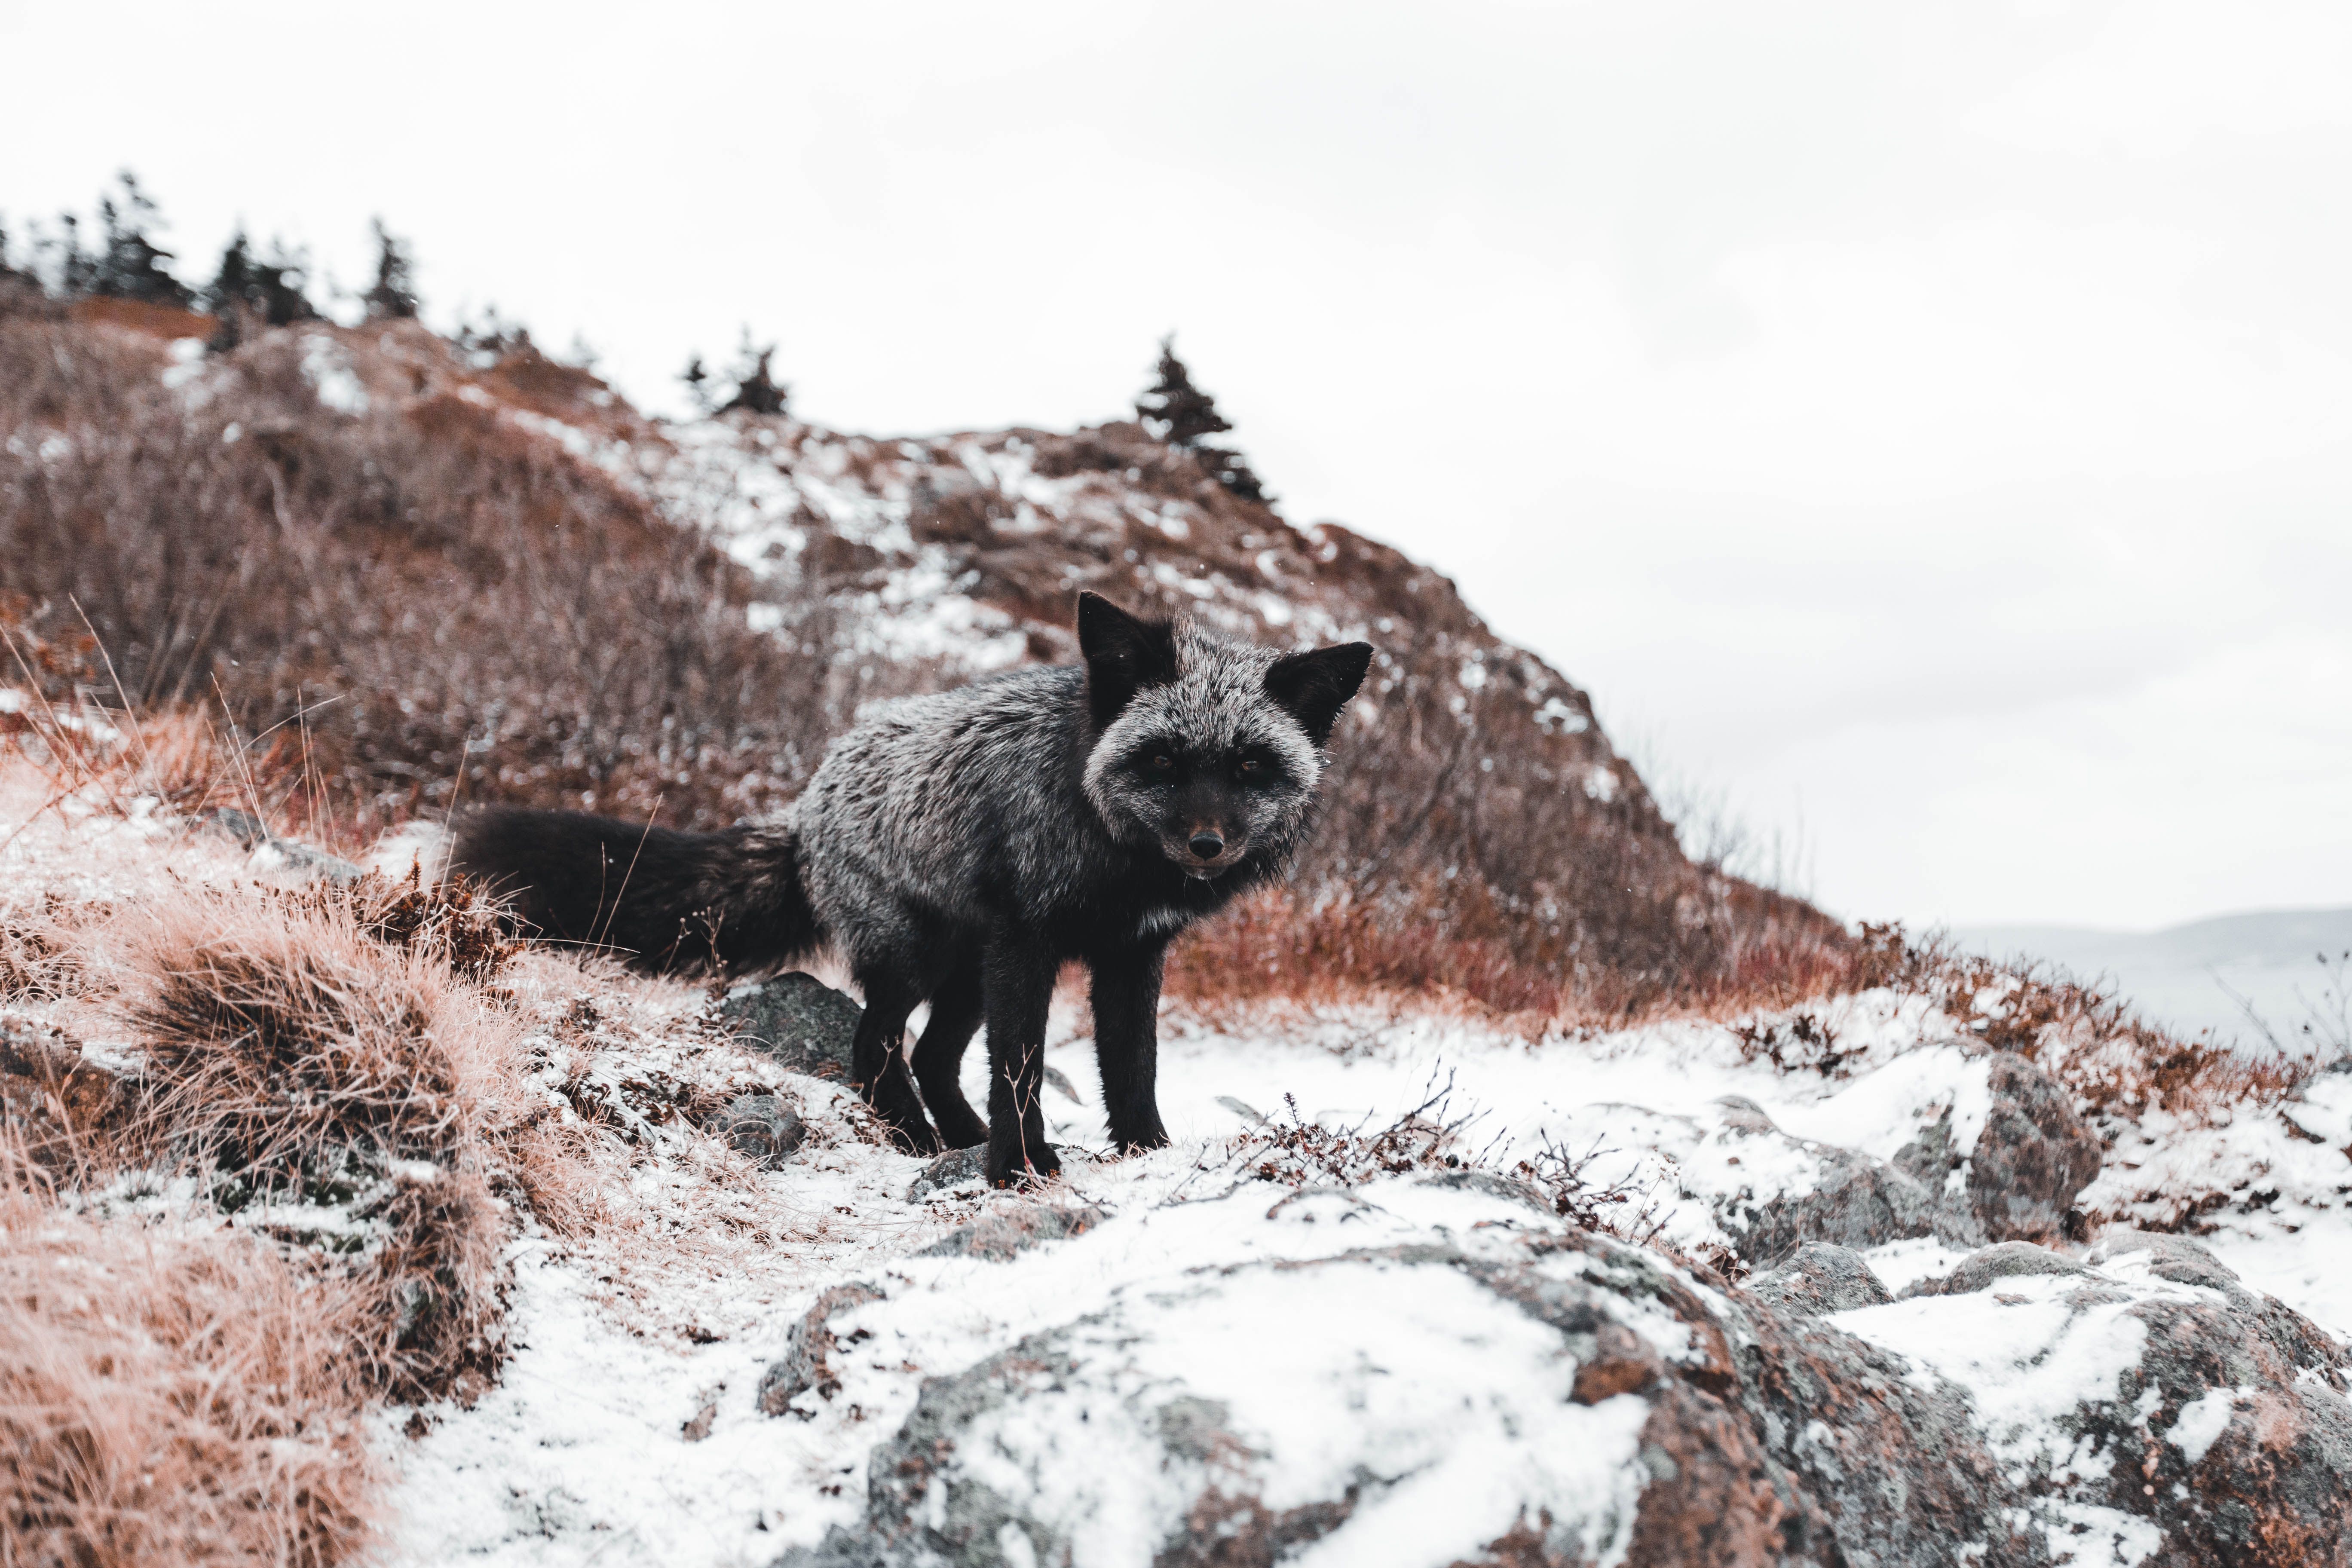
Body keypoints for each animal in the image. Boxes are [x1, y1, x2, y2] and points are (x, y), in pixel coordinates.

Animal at [449, 592, 1373, 1187]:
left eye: (1249, 766)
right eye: (1165, 760)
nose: (1207, 845)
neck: (1113, 851)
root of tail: (805, 810)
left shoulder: (1132, 954)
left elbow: (1132, 1065)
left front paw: (1145, 1152)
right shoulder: (1030, 943)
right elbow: (1021, 1066)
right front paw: (1016, 1169)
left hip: (967, 969)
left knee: (929, 1056)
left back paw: (953, 1137)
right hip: (921, 957)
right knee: (876, 1049)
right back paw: (919, 1138)